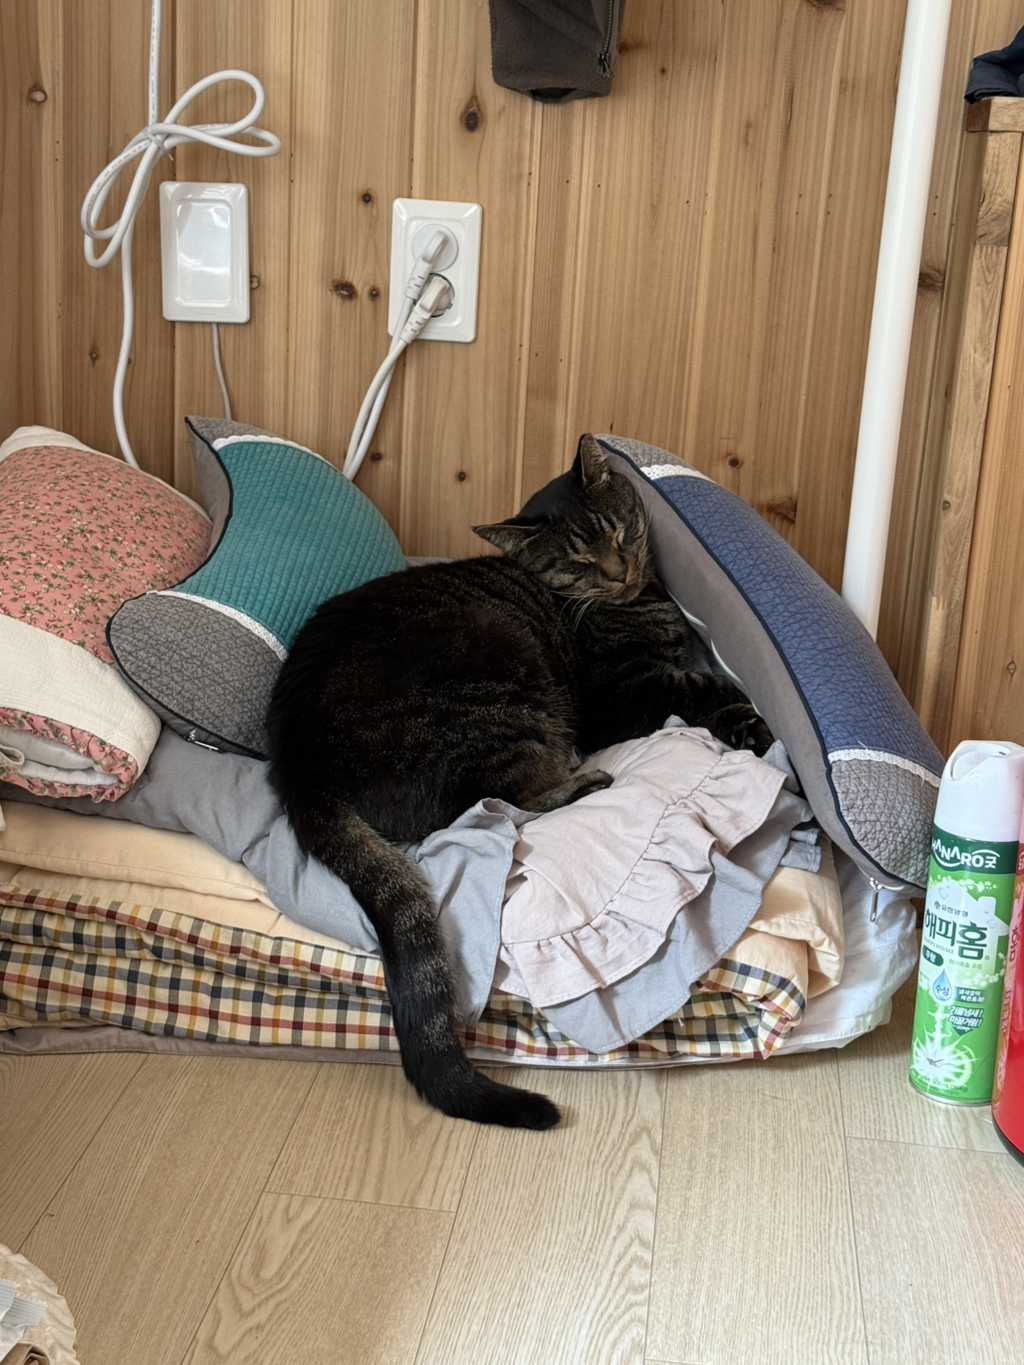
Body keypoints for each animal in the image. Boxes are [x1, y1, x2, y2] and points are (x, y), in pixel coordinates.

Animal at [266, 435, 771, 1129]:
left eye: (620, 530)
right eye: (579, 562)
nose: (619, 570)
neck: (639, 601)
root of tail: (294, 763)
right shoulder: (623, 695)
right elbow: (706, 686)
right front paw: (754, 724)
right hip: (503, 684)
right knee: (508, 804)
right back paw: (588, 781)